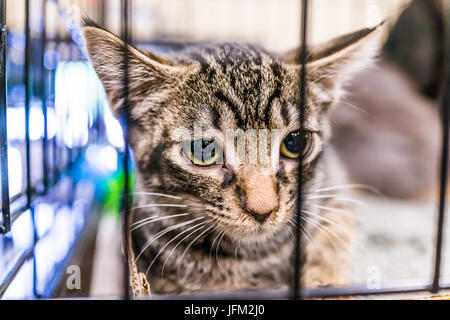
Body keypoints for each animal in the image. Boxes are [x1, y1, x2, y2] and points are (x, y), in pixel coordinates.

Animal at [82, 21, 382, 294]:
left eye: (295, 143)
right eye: (203, 150)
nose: (263, 209)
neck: (255, 256)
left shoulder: (334, 189)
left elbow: (334, 237)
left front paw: (325, 280)